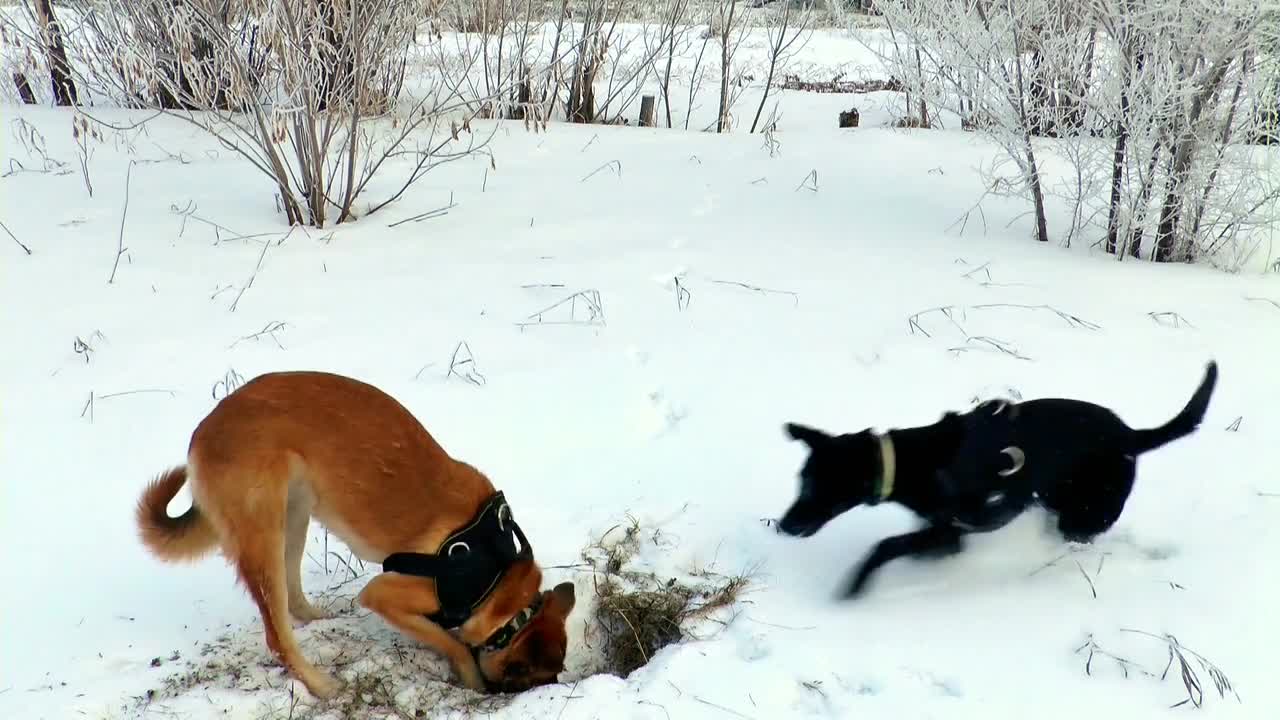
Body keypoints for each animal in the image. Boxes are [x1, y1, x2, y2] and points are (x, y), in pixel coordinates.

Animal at [135, 368, 576, 696]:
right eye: (530, 680)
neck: (496, 573)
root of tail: (205, 429)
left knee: (290, 599)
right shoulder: (385, 593)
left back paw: (316, 616)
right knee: (278, 636)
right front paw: (468, 676)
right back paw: (321, 686)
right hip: (264, 532)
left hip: (296, 513)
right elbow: (452, 642)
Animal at [768, 361, 1218, 597]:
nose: (783, 525)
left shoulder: (953, 529)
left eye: (817, 485)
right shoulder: (946, 531)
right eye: (801, 479)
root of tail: (1131, 435)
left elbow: (886, 545)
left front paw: (855, 585)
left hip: (1084, 513)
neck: (915, 460)